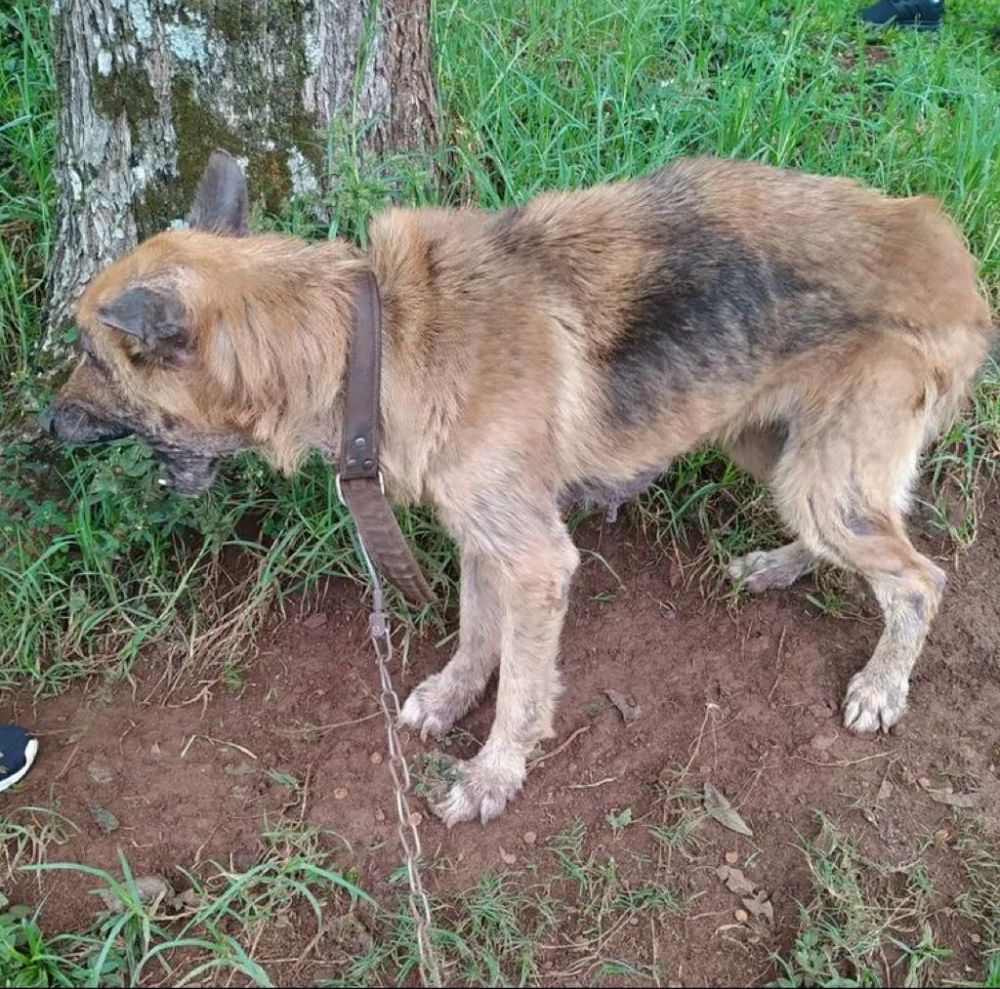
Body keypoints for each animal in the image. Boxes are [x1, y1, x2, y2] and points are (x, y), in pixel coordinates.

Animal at [43, 151, 996, 824]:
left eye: (93, 357)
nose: (44, 426)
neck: (370, 337)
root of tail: (944, 251)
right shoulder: (484, 536)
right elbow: (476, 634)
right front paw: (449, 694)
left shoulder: (537, 560)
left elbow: (525, 688)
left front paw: (493, 774)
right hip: (772, 447)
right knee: (872, 541)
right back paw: (780, 566)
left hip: (817, 475)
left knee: (920, 578)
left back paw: (882, 684)